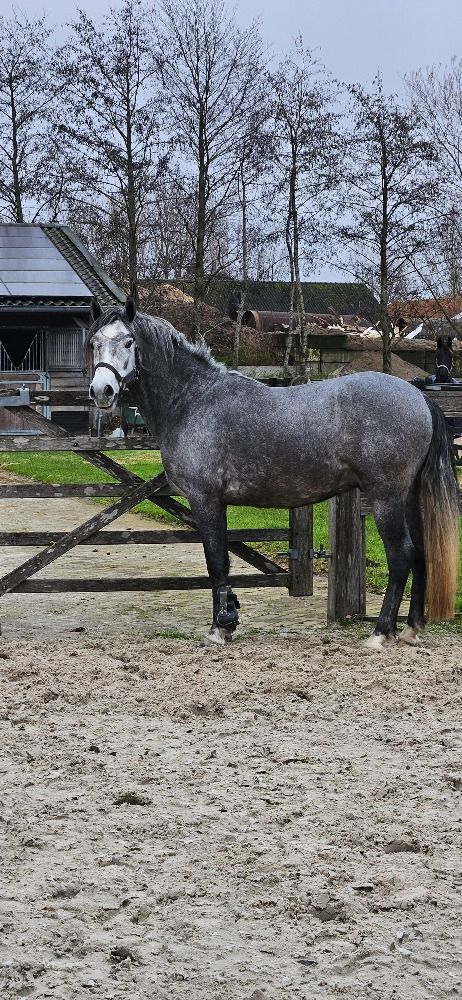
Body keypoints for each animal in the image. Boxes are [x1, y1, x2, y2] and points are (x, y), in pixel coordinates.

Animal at [87, 297, 459, 649]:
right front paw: (228, 621)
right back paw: (410, 629)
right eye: (93, 342)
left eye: (129, 341)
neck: (194, 400)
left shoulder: (204, 499)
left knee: (401, 557)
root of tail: (418, 398)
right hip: (407, 498)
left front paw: (218, 629)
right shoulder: (217, 503)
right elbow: (222, 560)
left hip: (385, 500)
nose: (102, 391)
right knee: (420, 553)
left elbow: (215, 562)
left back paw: (381, 633)